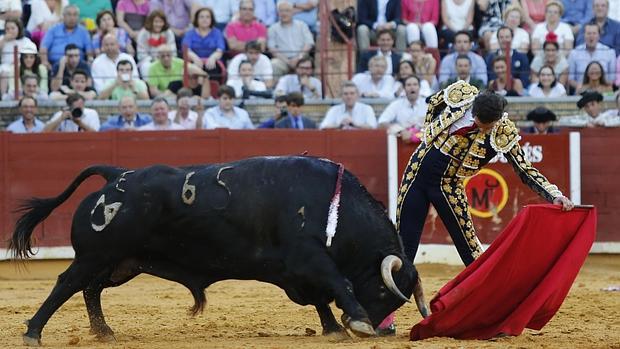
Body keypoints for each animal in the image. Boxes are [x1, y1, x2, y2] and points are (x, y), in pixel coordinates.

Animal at [8, 156, 426, 346]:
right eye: (383, 291)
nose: (382, 329)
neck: (334, 210)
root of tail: (116, 175)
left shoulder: (299, 271)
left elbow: (322, 297)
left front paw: (333, 327)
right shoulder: (308, 258)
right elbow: (339, 283)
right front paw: (355, 322)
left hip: (122, 264)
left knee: (90, 289)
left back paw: (104, 331)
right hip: (96, 256)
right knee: (66, 283)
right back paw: (34, 332)